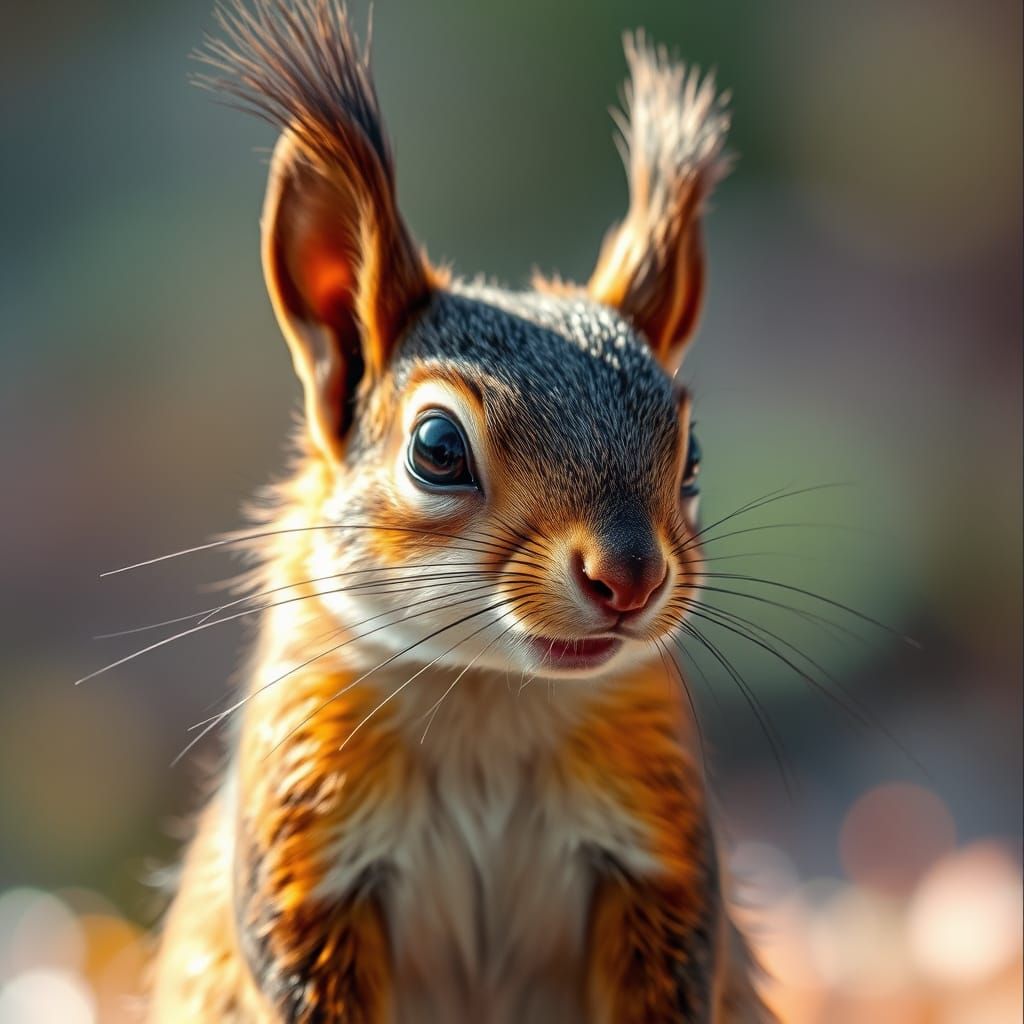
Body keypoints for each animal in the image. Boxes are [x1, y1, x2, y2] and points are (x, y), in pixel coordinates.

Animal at [145, 1, 772, 1021]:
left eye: (693, 457)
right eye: (437, 448)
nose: (631, 579)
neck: (489, 699)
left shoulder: (659, 844)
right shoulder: (303, 842)